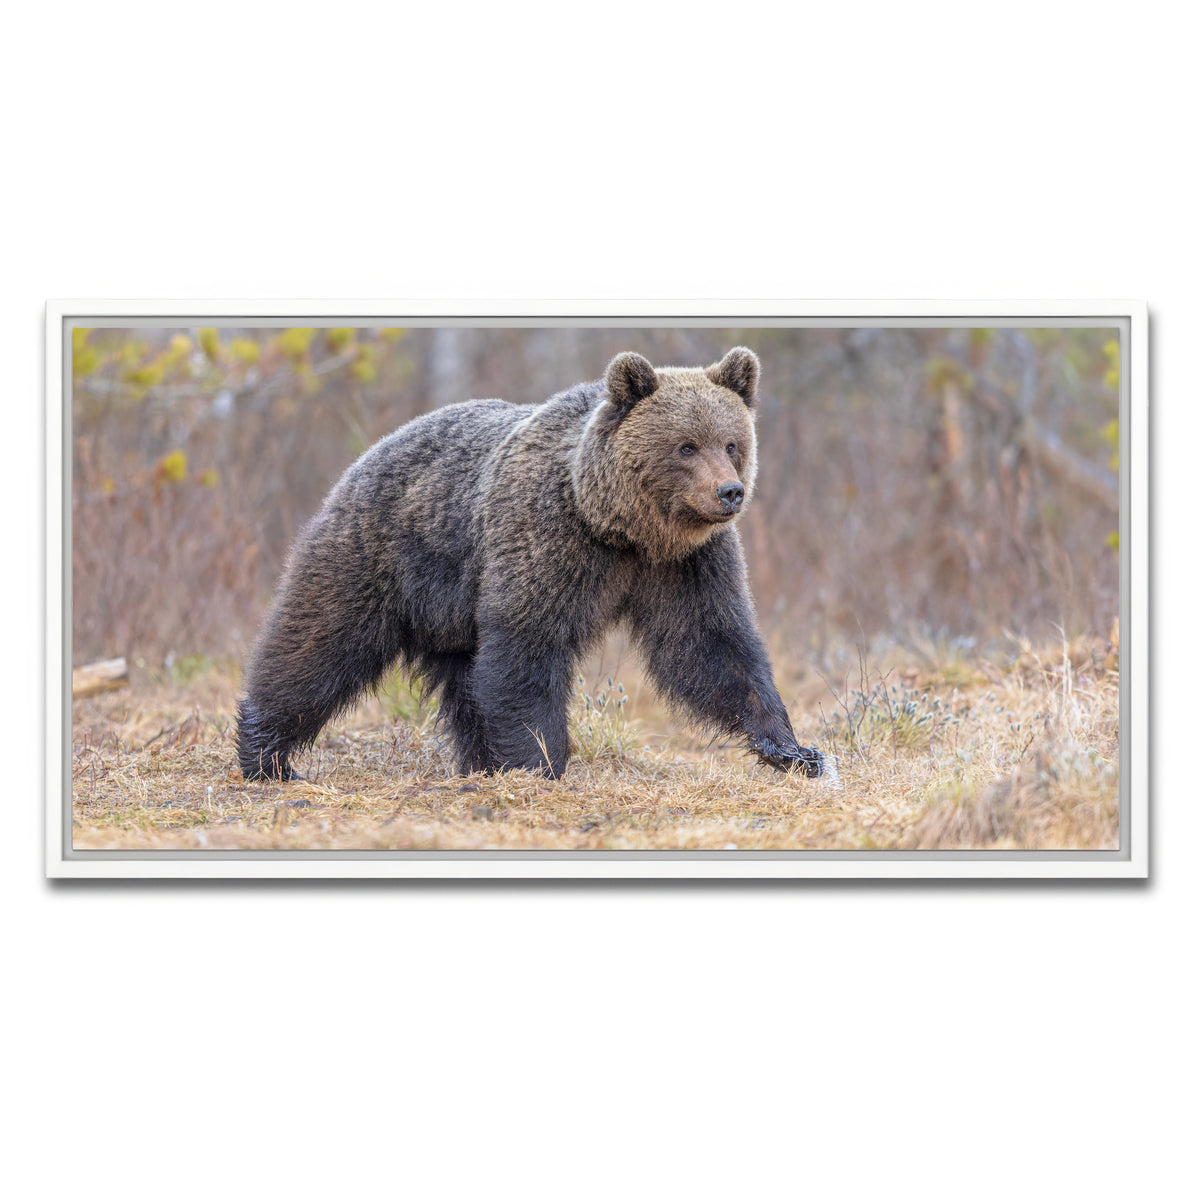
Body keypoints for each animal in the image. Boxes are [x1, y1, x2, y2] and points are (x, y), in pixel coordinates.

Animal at [236, 346, 826, 782]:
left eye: (732, 443)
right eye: (686, 446)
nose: (729, 492)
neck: (620, 527)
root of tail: (371, 451)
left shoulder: (688, 563)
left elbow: (713, 645)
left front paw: (794, 749)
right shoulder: (547, 537)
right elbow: (528, 645)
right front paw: (541, 762)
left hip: (452, 614)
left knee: (465, 681)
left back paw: (478, 764)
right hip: (381, 554)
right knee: (318, 644)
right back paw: (267, 754)